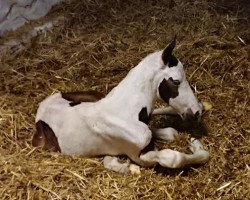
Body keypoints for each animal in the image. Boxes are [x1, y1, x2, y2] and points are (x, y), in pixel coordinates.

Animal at [32, 39, 209, 173]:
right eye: (177, 81)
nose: (196, 112)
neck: (126, 112)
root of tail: (41, 108)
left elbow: (171, 132)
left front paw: (194, 142)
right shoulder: (140, 157)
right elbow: (173, 157)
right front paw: (196, 145)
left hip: (94, 96)